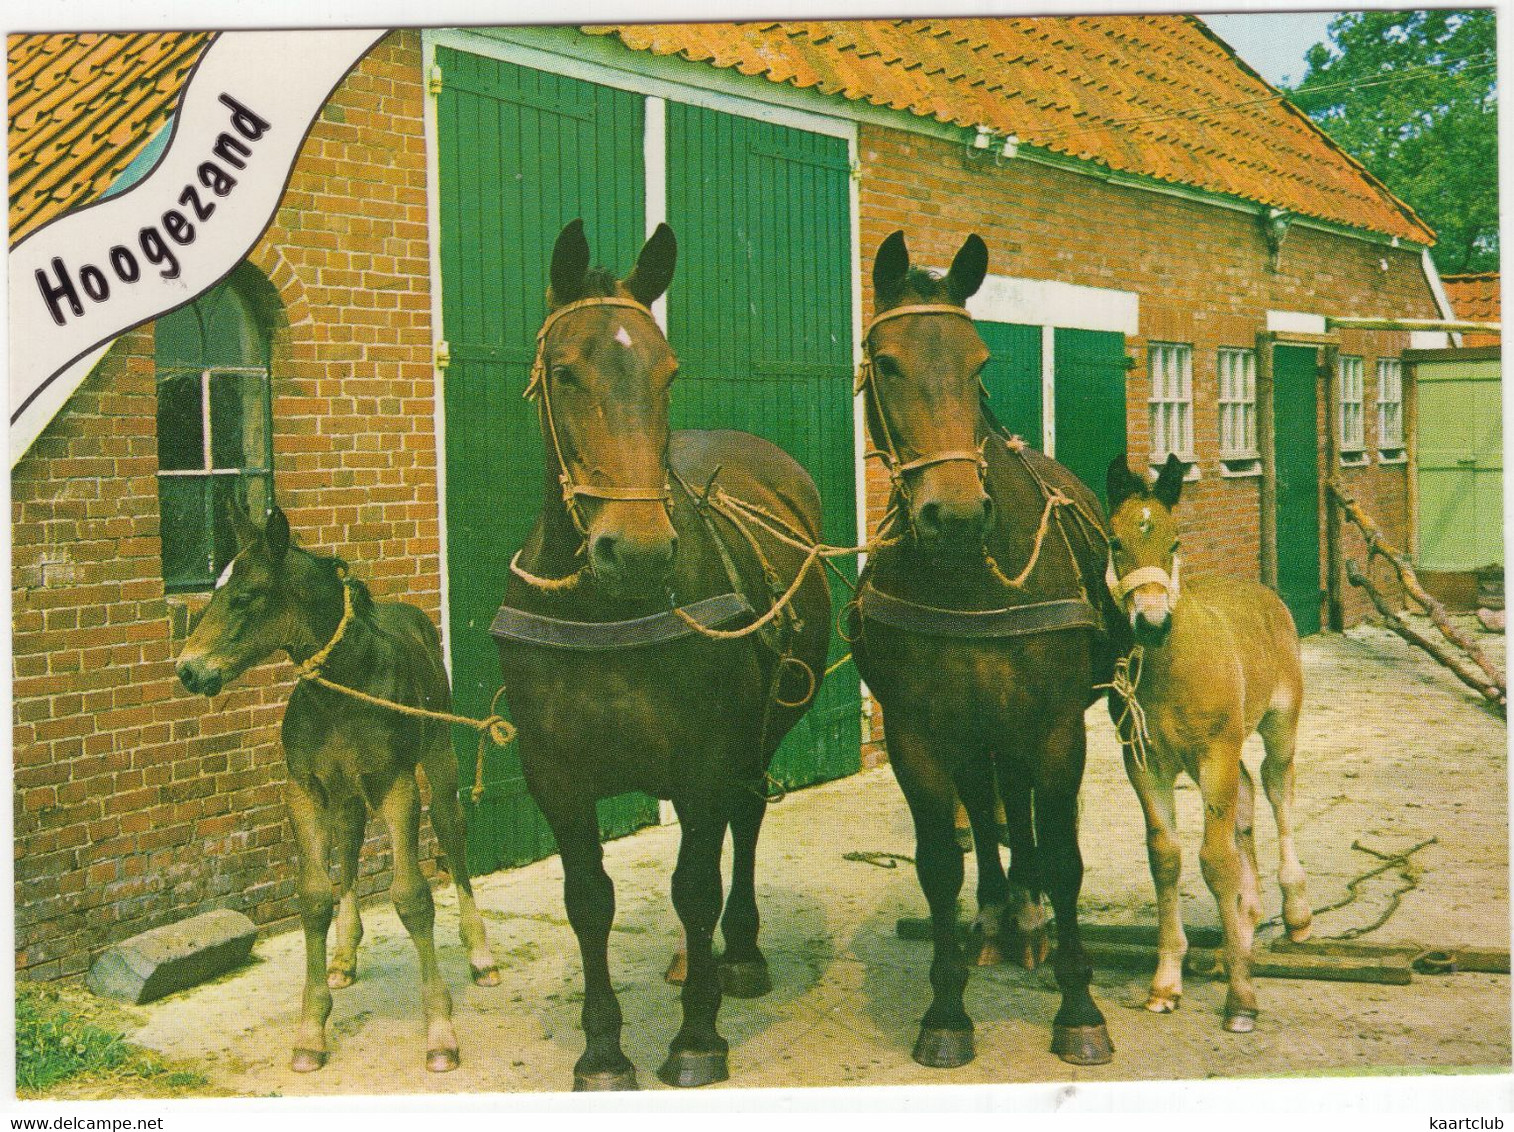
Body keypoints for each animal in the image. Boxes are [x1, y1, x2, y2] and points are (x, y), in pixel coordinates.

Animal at [175, 505, 496, 1071]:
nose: (187, 670)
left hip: (437, 759)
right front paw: (310, 1031)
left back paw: (480, 955)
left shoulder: (396, 786)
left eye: (246, 596)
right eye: (212, 591)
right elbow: (314, 897)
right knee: (347, 847)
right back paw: (345, 957)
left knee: (453, 836)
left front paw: (440, 1033)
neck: (347, 684)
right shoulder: (303, 789)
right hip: (344, 794)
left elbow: (413, 898)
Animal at [493, 219, 829, 1089]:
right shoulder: (556, 778)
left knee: (744, 825)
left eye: (667, 369)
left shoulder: (708, 760)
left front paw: (696, 1035)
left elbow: (694, 886)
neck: (605, 610)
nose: (637, 549)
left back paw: (736, 954)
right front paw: (604, 1050)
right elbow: (589, 901)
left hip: (757, 736)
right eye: (564, 373)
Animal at [853, 231, 1126, 1071]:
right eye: (886, 363)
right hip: (974, 729)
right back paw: (999, 913)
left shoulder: (1057, 727)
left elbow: (1065, 856)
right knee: (988, 804)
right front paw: (945, 1012)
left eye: (979, 364)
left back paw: (1029, 917)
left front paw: (1080, 1007)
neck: (969, 576)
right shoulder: (917, 733)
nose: (955, 514)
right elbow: (941, 862)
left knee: (1021, 807)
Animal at [1102, 454, 1314, 1035]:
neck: (1170, 665)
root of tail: (1262, 592)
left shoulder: (1214, 752)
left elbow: (1216, 860)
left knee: (1277, 791)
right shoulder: (1144, 762)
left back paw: (1294, 913)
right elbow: (1166, 858)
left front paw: (1241, 999)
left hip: (1278, 725)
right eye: (1115, 542)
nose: (1151, 623)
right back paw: (1242, 925)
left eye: (1174, 540)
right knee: (1245, 796)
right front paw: (1165, 983)